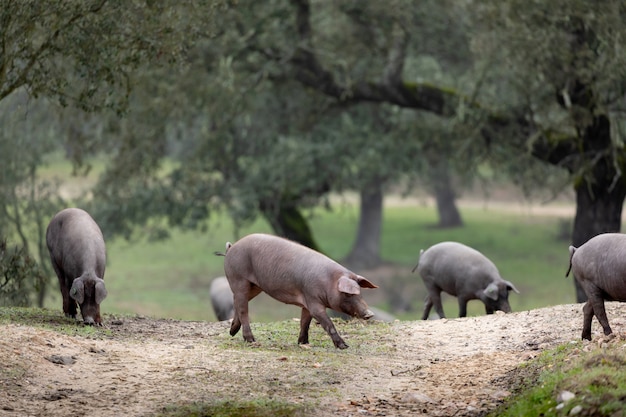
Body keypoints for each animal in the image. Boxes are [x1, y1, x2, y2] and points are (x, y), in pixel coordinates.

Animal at [217, 234, 378, 348]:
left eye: (360, 292)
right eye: (348, 294)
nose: (370, 314)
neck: (328, 282)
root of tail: (231, 247)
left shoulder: (306, 302)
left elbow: (305, 322)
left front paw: (303, 343)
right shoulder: (313, 300)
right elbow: (327, 323)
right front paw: (344, 346)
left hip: (255, 286)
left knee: (237, 302)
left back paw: (232, 332)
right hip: (239, 278)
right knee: (243, 308)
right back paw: (251, 340)